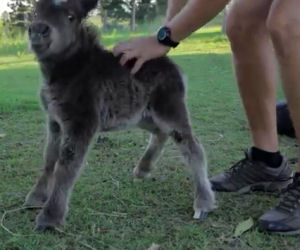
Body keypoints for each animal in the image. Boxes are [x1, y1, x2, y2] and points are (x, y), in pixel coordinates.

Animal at [24, 0, 214, 231]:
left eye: (70, 16)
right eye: (36, 12)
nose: (38, 30)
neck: (71, 69)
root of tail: (171, 65)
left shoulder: (82, 121)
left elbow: (66, 165)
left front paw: (50, 217)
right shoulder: (54, 121)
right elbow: (50, 158)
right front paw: (36, 196)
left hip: (169, 107)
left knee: (191, 145)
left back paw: (203, 201)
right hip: (141, 114)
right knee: (161, 133)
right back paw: (143, 168)